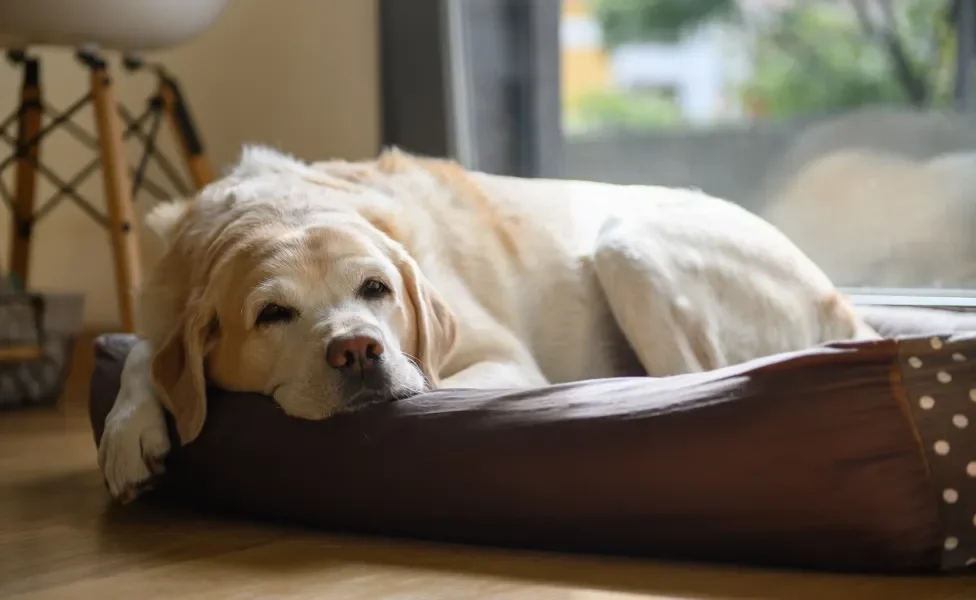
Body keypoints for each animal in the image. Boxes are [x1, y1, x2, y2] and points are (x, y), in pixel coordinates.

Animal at [97, 146, 876, 502]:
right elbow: (143, 353)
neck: (279, 207)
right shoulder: (164, 307)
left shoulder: (494, 356)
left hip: (627, 245)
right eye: (271, 315)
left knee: (698, 378)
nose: (358, 349)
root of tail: (846, 305)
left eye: (376, 289)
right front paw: (129, 430)